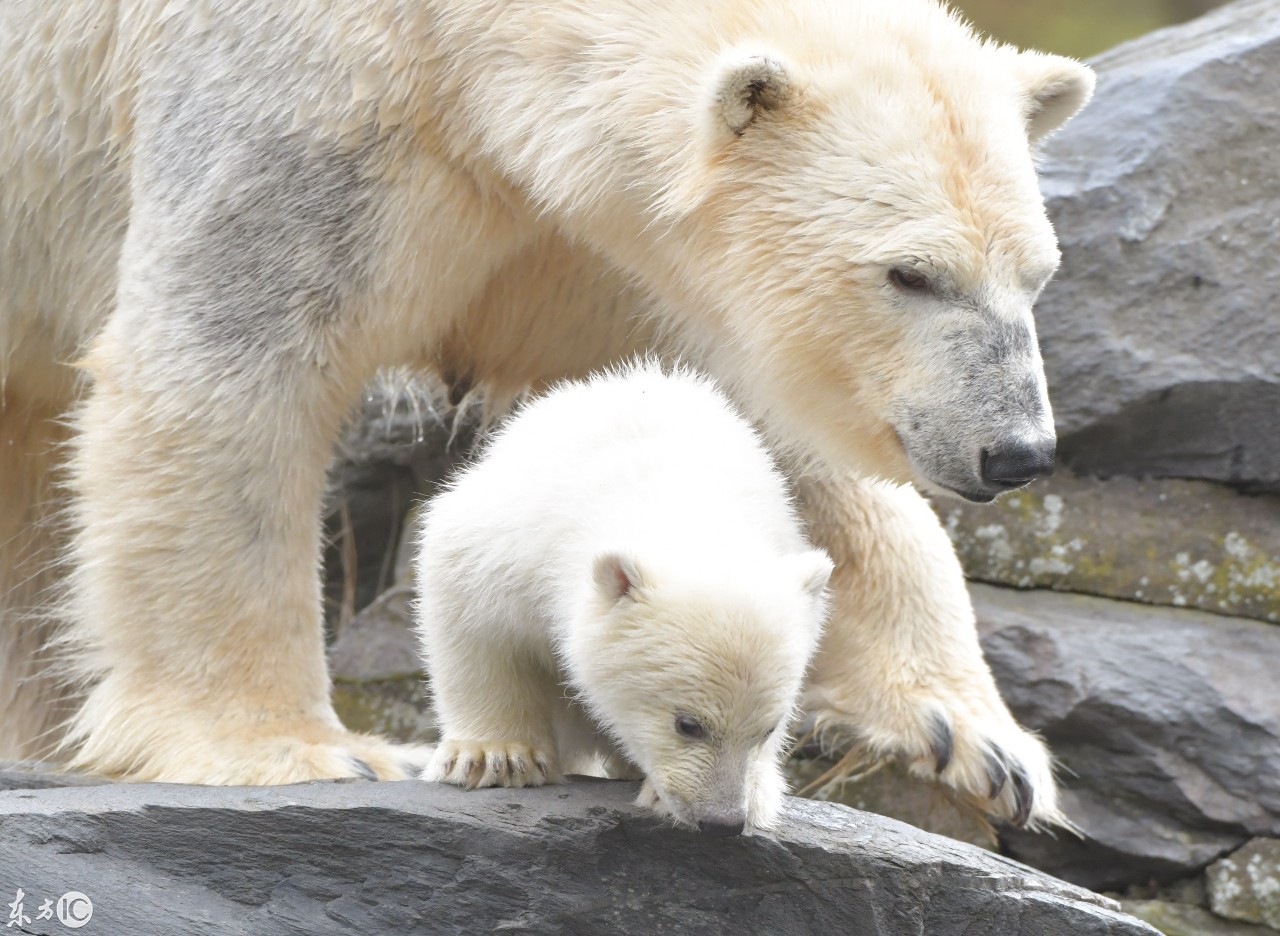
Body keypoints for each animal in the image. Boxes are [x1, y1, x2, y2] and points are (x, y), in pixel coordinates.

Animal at [0, 0, 1095, 824]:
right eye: (908, 273)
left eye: (1037, 272)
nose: (1014, 452)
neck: (455, 46)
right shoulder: (304, 107)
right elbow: (228, 369)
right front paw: (294, 748)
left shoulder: (593, 243)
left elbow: (744, 422)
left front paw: (973, 740)